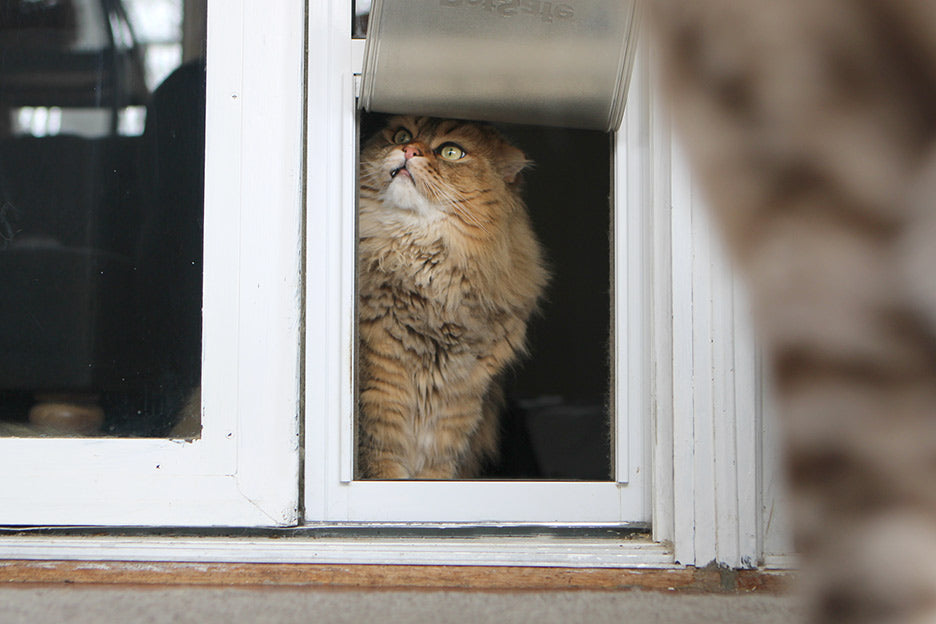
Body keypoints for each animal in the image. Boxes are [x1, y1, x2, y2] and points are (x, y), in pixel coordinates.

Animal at [358, 116, 548, 478]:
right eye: (401, 135)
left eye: (451, 152)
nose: (408, 150)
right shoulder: (381, 397)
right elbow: (382, 470)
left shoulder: (454, 417)